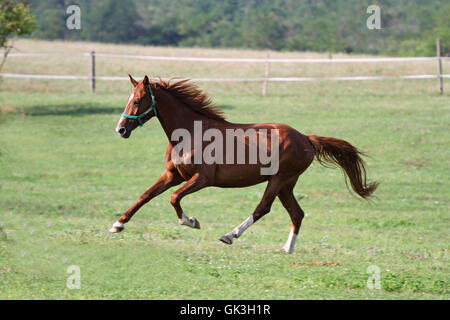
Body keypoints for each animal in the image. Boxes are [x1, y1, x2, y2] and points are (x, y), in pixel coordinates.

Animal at [108, 75, 376, 252]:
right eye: (129, 98)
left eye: (138, 100)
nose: (120, 130)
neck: (190, 133)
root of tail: (307, 138)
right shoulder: (173, 175)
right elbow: (145, 195)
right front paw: (117, 225)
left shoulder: (202, 179)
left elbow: (174, 198)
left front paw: (191, 222)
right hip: (286, 185)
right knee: (297, 213)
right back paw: (287, 248)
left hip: (278, 180)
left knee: (263, 208)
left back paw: (230, 235)